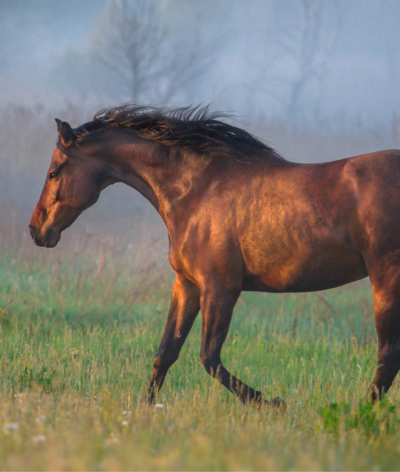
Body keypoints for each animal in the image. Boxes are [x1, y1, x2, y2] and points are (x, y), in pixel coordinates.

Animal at [29, 105, 400, 408]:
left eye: (53, 173)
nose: (36, 230)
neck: (196, 191)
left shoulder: (220, 288)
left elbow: (209, 358)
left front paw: (272, 403)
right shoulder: (187, 285)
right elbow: (165, 353)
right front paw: (143, 409)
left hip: (386, 278)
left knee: (387, 355)